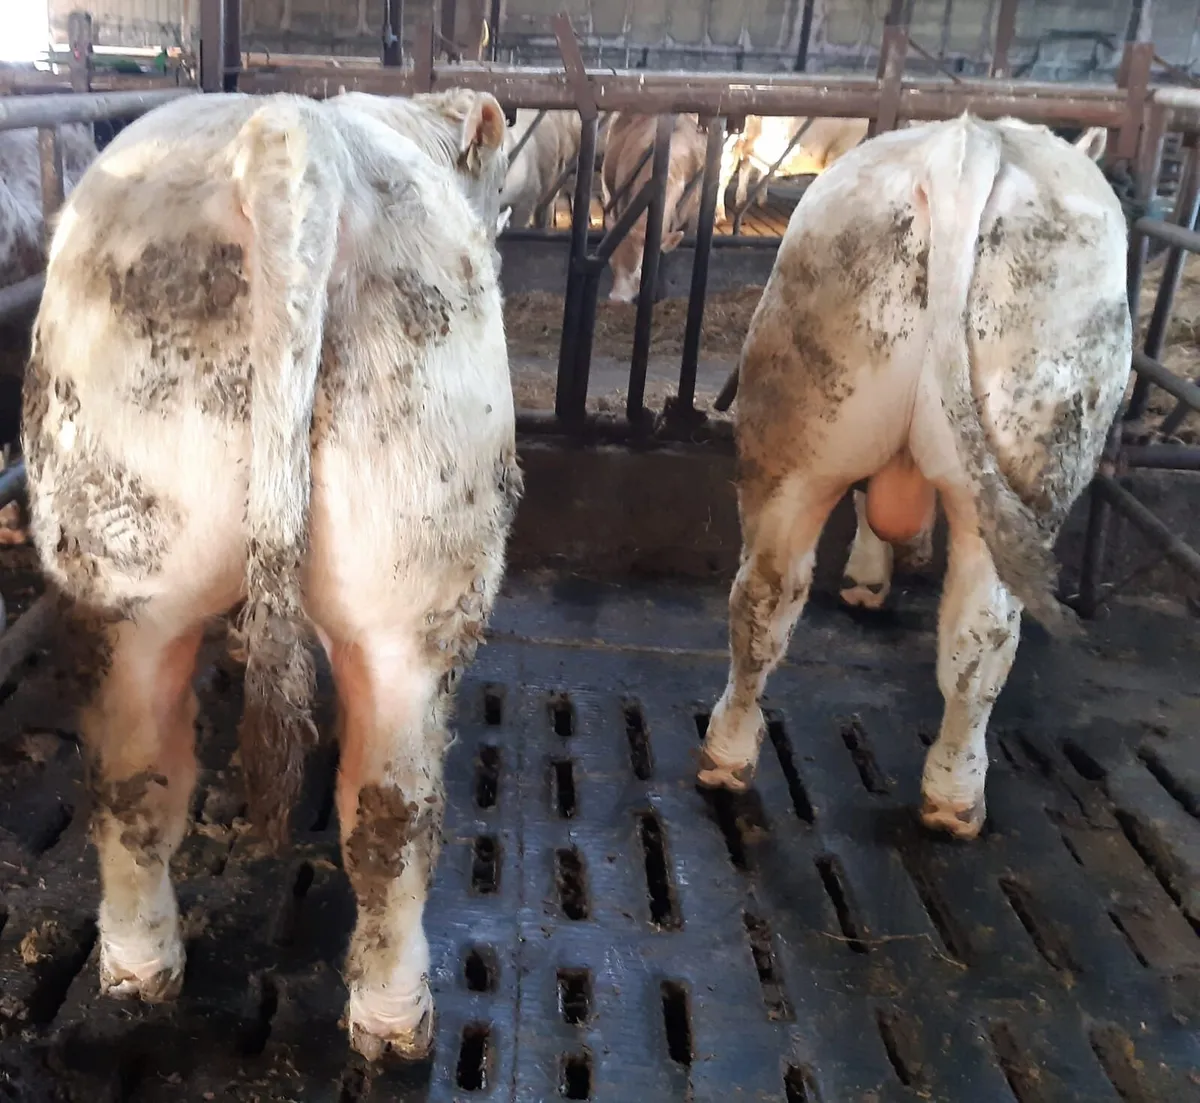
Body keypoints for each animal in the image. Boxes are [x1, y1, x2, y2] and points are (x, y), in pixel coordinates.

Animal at [697, 114, 1130, 841]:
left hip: (800, 432)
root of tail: (965, 145)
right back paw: (956, 796)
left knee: (764, 595)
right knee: (982, 636)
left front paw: (871, 574)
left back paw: (727, 755)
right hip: (1037, 452)